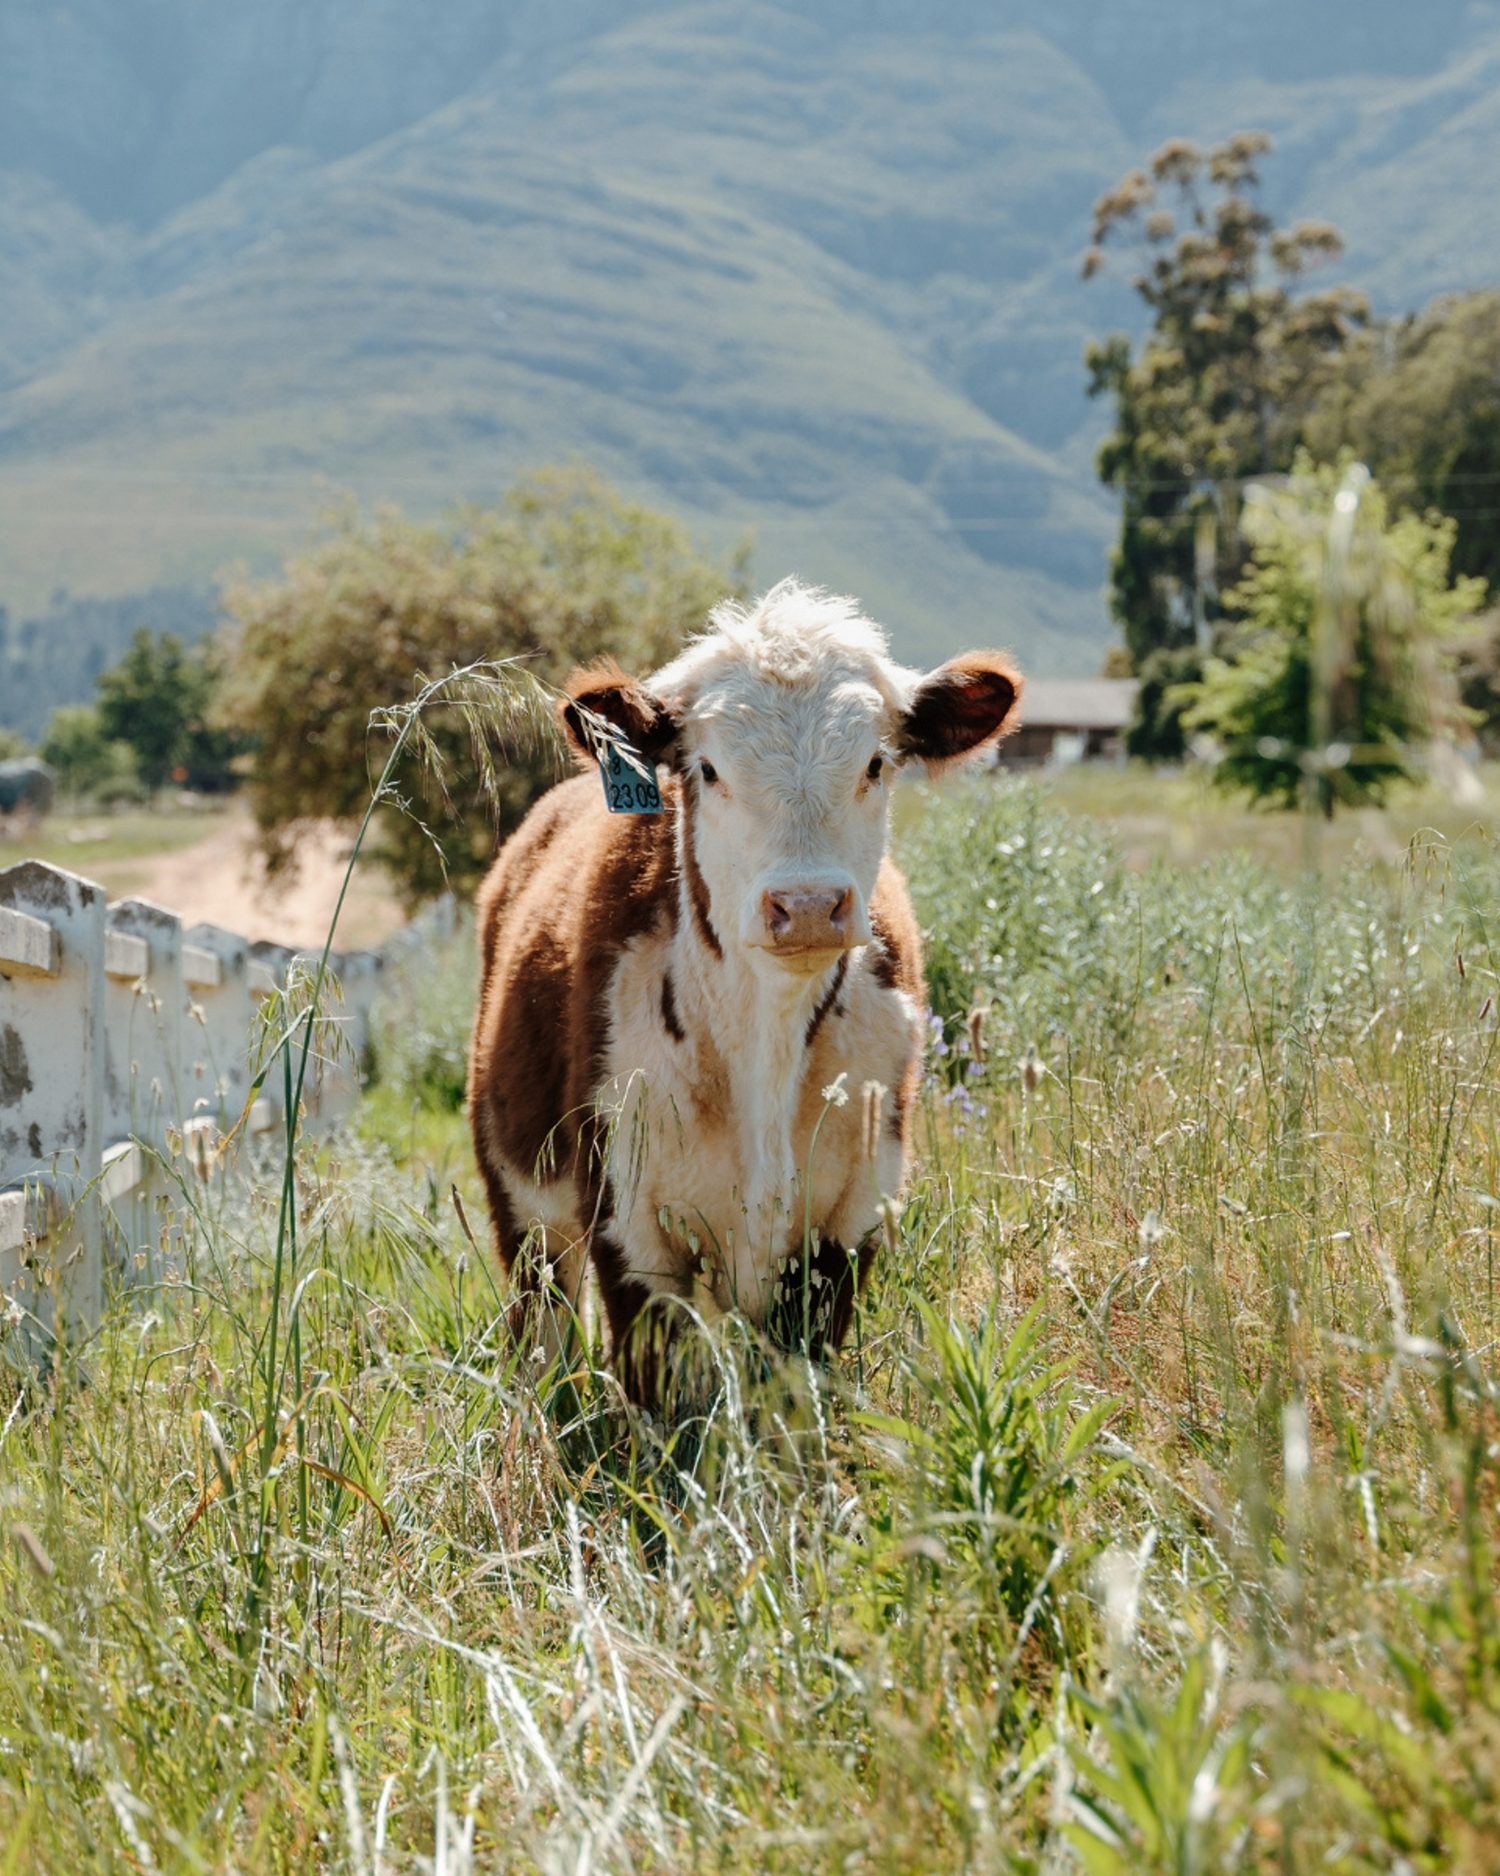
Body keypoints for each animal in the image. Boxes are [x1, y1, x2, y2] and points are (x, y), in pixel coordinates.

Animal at [467, 579, 1021, 1403]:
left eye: (876, 762)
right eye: (708, 770)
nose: (809, 904)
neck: (764, 1039)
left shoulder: (847, 1225)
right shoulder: (628, 1228)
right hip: (525, 1210)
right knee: (546, 1329)